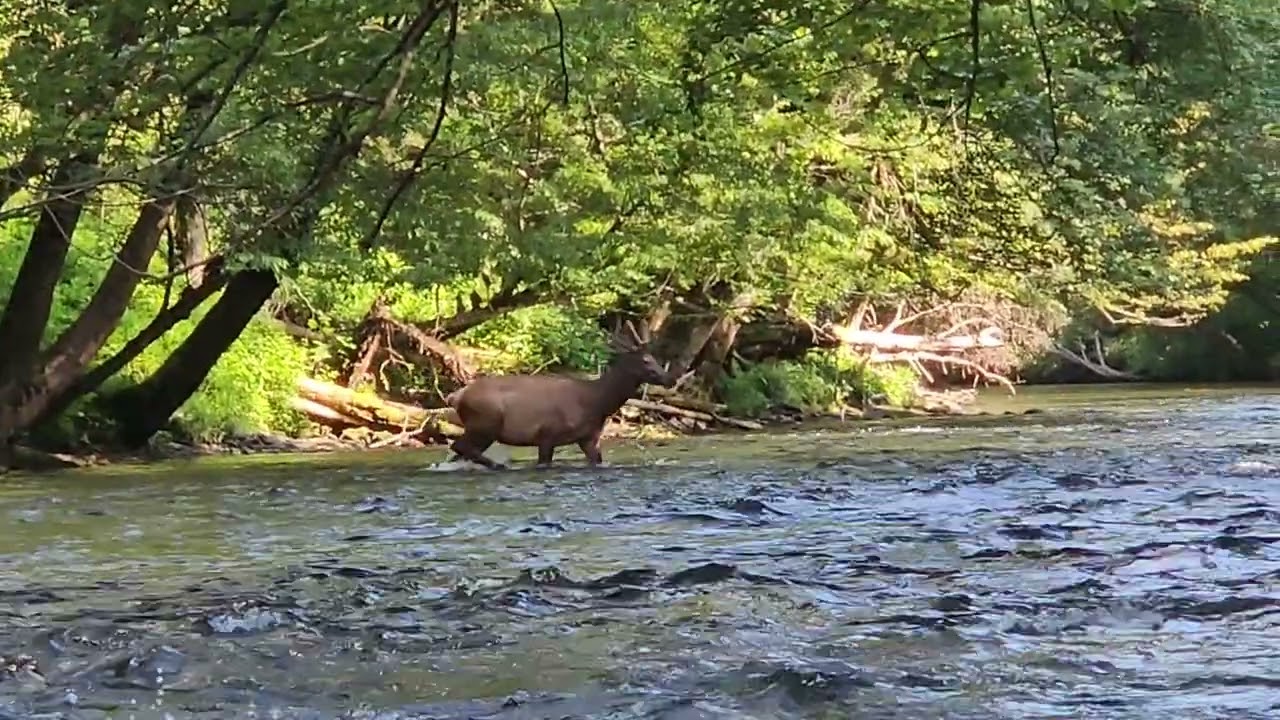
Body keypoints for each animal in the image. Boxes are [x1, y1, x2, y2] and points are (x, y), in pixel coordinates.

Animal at [442, 320, 676, 470]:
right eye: (646, 360)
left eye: (654, 358)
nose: (670, 379)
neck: (597, 402)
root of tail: (455, 397)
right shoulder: (547, 434)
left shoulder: (589, 438)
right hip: (484, 423)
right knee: (459, 446)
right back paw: (498, 465)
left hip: (481, 428)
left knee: (459, 452)